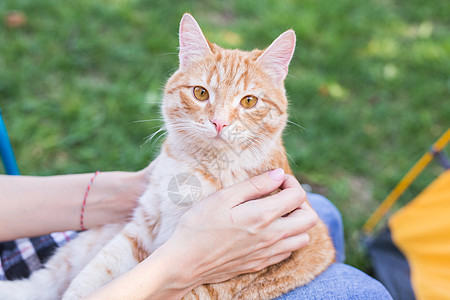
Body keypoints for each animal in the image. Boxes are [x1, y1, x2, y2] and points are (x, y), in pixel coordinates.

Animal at [0, 12, 334, 298]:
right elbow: (92, 276)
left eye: (249, 101)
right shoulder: (139, 229)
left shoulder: (217, 283)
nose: (219, 123)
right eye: (201, 93)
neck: (199, 166)